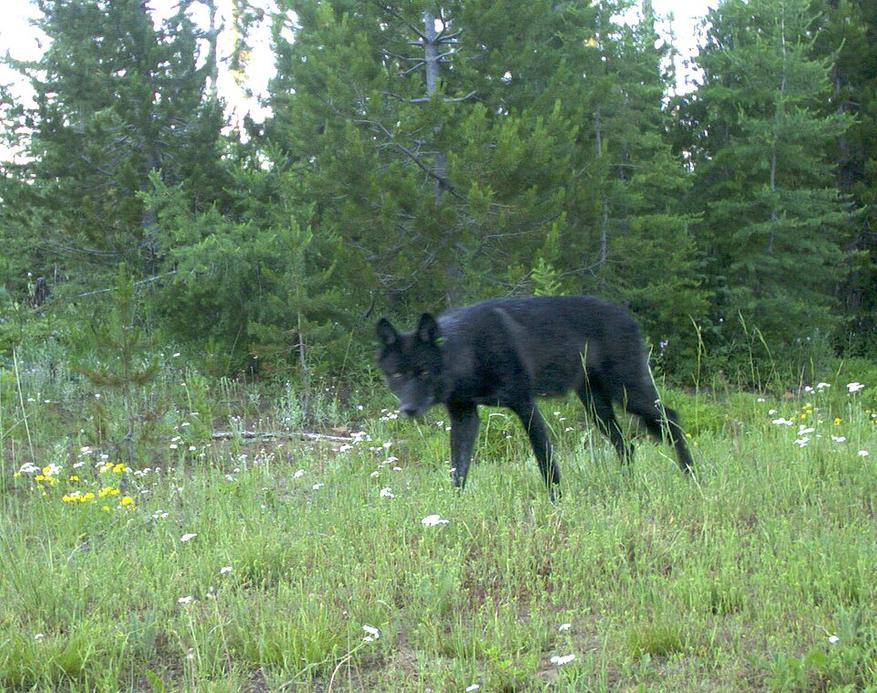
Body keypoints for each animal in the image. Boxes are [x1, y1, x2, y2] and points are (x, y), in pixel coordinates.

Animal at [375, 296, 693, 495]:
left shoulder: (525, 406)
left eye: (424, 371)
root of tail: (629, 317)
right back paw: (629, 484)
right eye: (398, 375)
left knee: (672, 418)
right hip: (598, 408)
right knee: (627, 446)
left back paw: (691, 475)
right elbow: (458, 471)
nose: (408, 409)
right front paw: (452, 509)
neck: (468, 352)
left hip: (629, 395)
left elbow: (546, 464)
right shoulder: (464, 417)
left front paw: (557, 504)